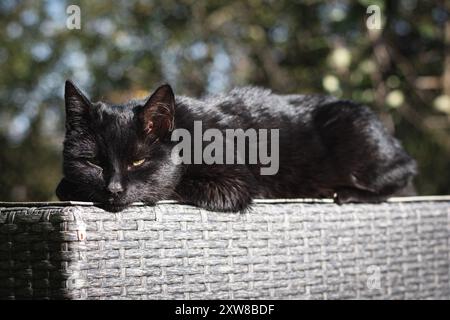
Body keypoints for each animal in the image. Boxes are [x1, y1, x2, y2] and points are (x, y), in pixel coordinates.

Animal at [57, 80, 418, 211]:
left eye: (137, 162)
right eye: (94, 162)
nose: (114, 189)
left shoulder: (236, 183)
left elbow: (172, 186)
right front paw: (70, 186)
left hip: (351, 130)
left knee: (401, 179)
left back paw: (347, 193)